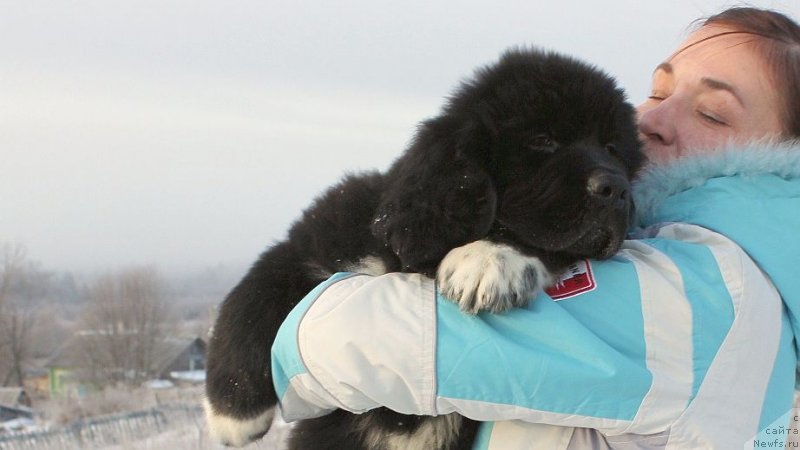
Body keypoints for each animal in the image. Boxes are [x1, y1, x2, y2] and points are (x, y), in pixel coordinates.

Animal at [205, 47, 644, 448]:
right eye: (543, 140)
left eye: (613, 149)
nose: (617, 189)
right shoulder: (321, 238)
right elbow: (251, 299)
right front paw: (230, 414)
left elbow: (543, 242)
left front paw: (488, 257)